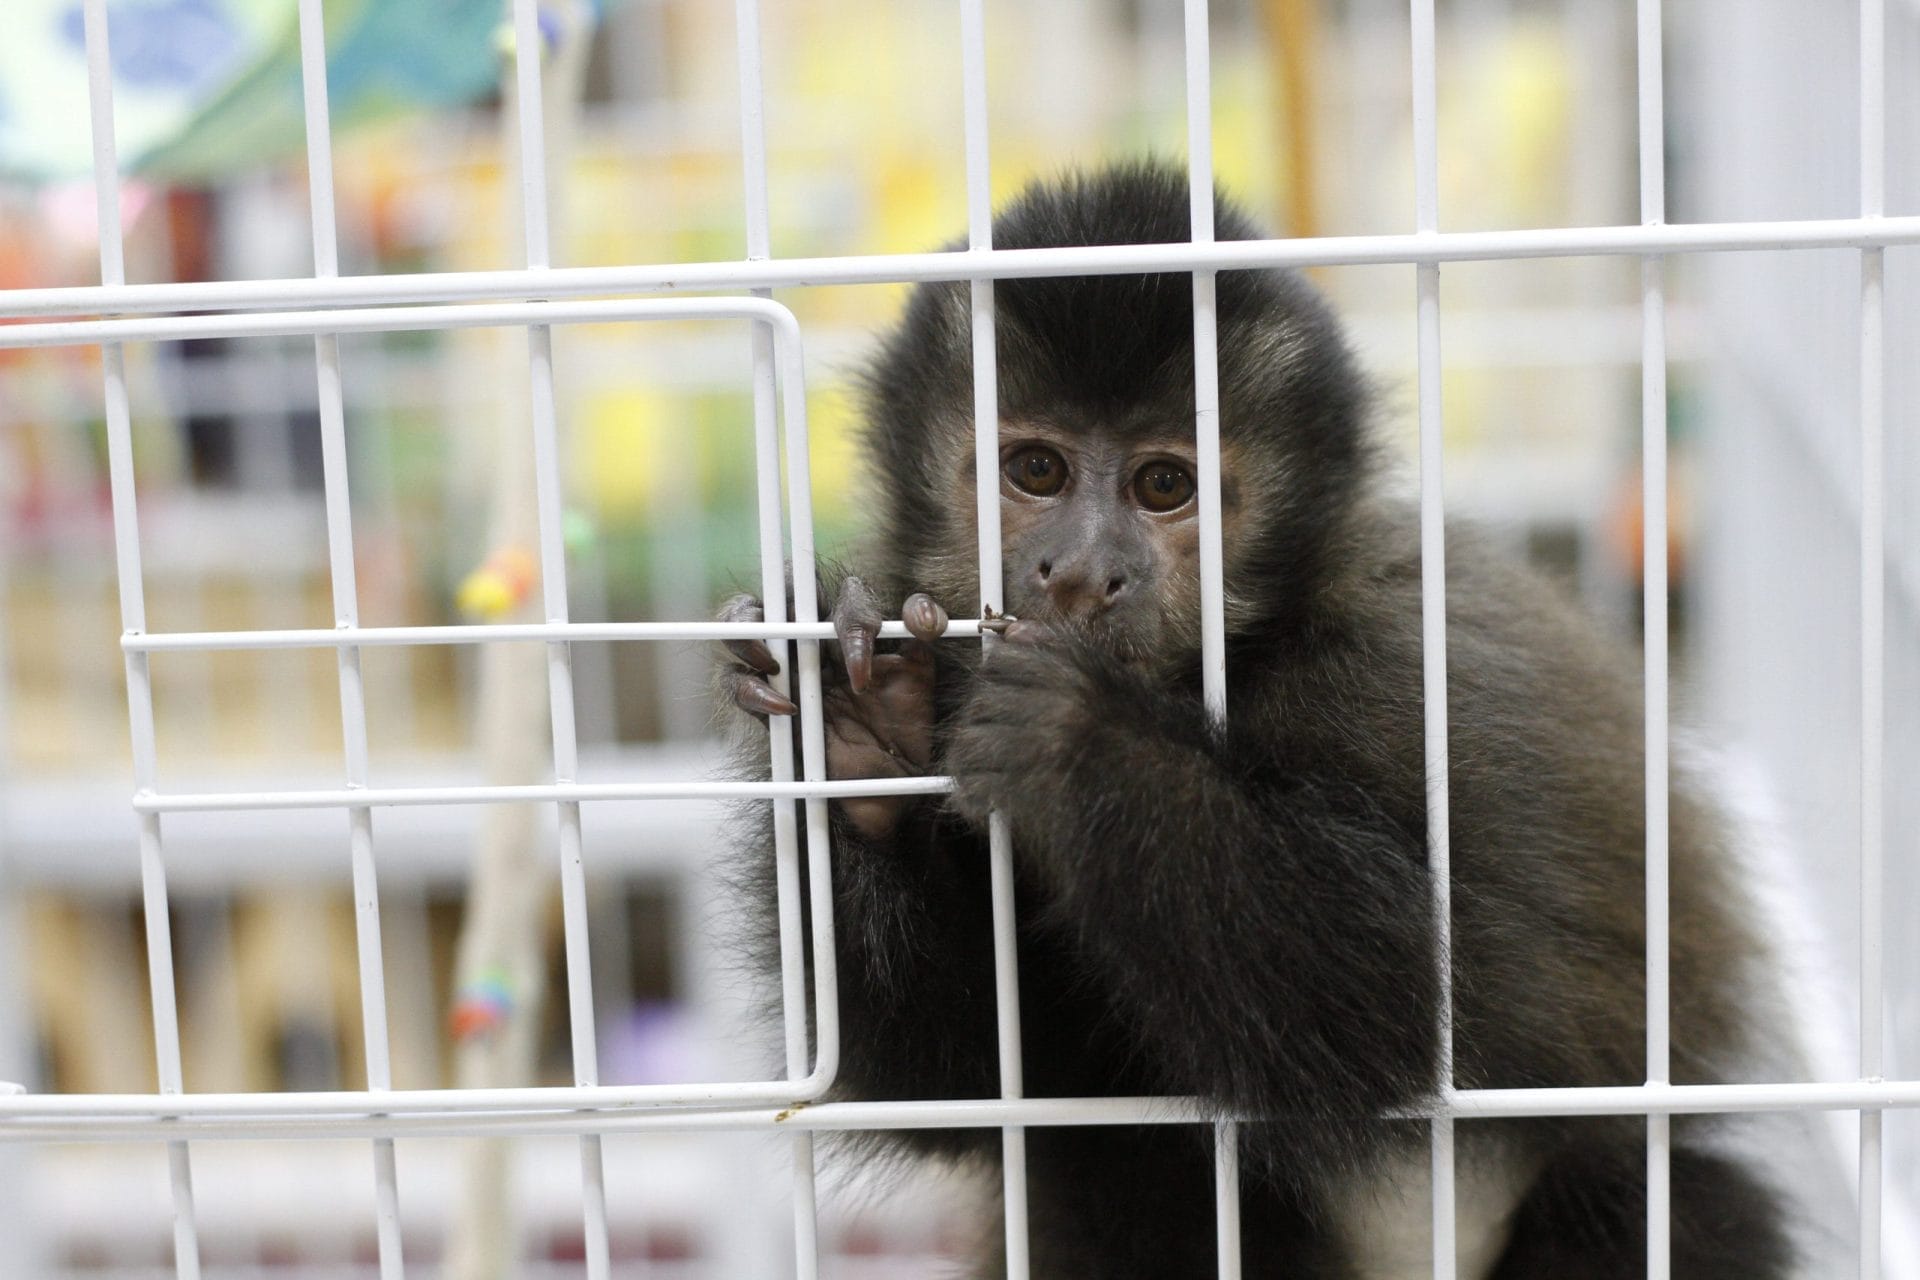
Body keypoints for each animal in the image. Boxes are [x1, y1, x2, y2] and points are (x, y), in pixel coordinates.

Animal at [715, 161, 1795, 1278]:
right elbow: (985, 1092)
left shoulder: (1395, 667)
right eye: (1038, 470)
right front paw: (860, 731)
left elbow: (1409, 1007)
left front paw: (1081, 740)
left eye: (1164, 485)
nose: (1083, 571)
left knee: (1677, 1193)